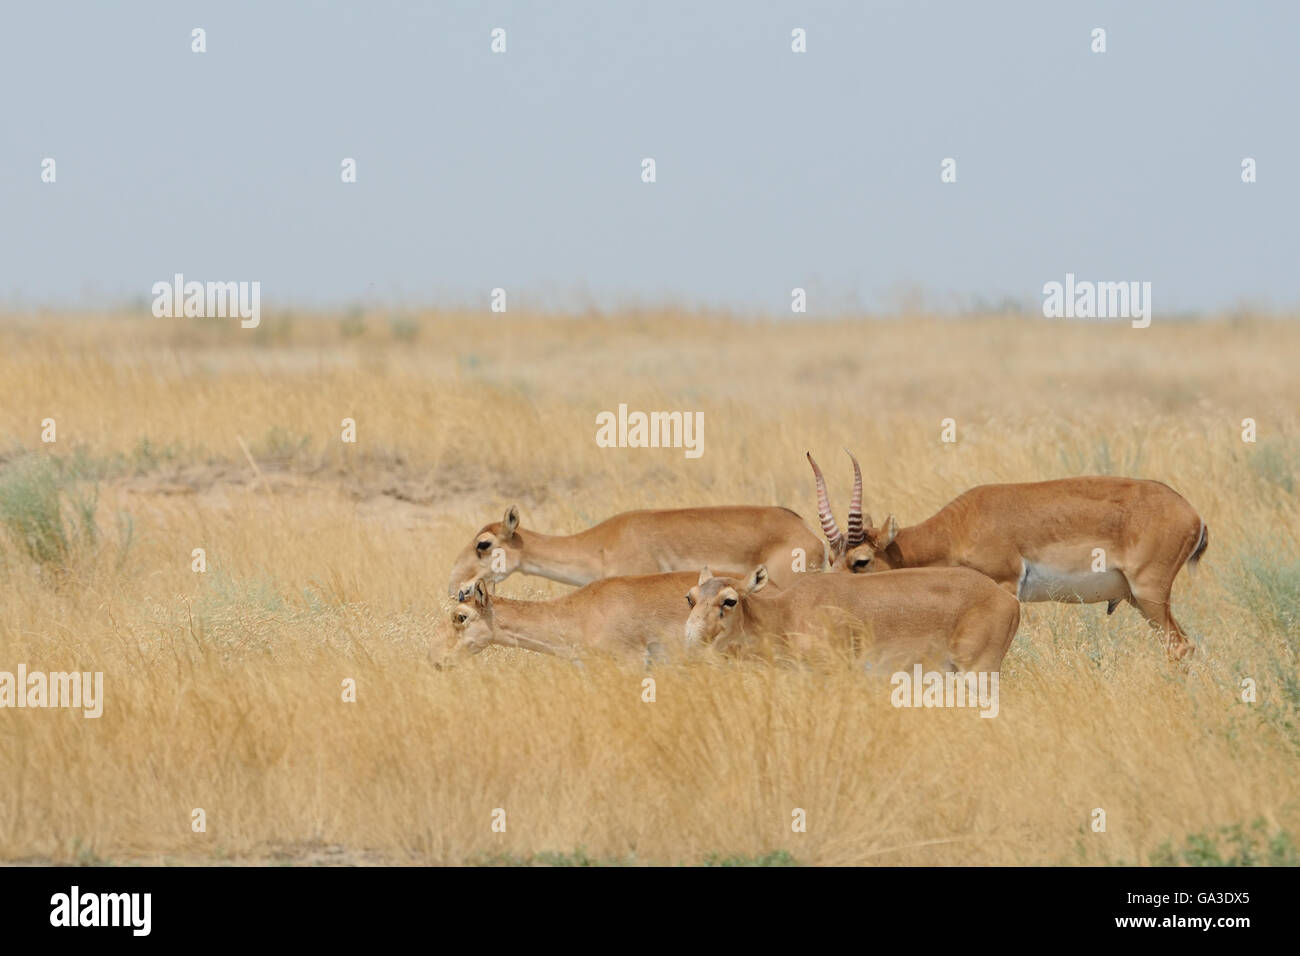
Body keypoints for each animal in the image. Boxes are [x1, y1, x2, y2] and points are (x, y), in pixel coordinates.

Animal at [800, 447, 1206, 658]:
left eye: (861, 561)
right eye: (831, 559)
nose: (826, 595)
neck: (959, 526)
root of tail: (1192, 513)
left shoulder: (1005, 588)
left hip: (1149, 595)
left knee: (1181, 646)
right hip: (1138, 600)